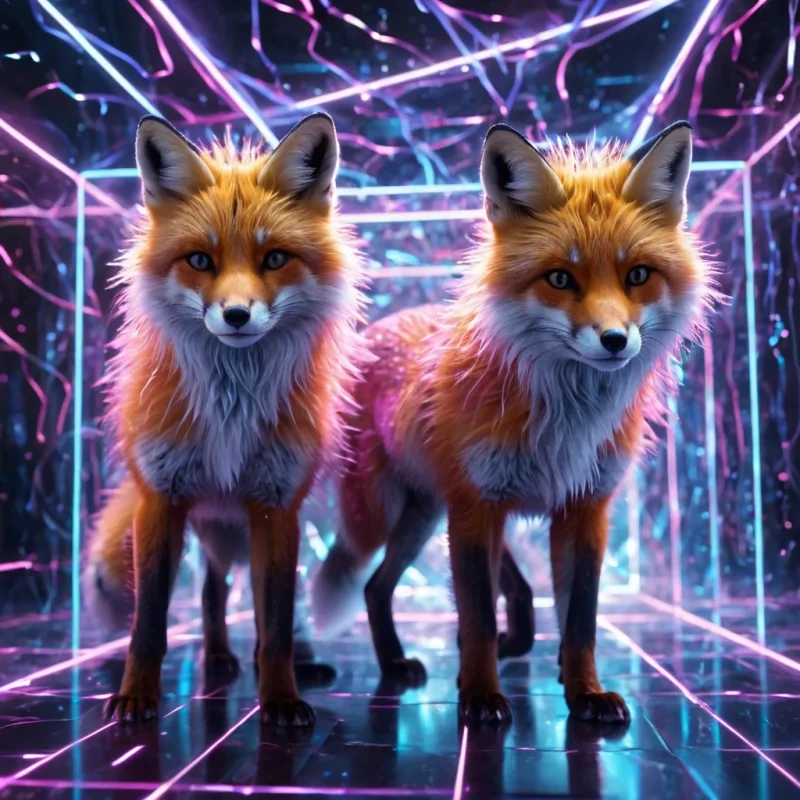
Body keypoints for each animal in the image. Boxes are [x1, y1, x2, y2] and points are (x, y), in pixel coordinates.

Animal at [88, 112, 363, 727]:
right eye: (200, 260)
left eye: (274, 259)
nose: (236, 315)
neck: (231, 408)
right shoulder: (160, 497)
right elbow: (148, 623)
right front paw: (136, 696)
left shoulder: (276, 504)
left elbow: (275, 624)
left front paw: (281, 699)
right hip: (205, 524)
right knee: (212, 592)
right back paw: (215, 657)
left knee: (253, 605)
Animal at [313, 121, 713, 725]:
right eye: (560, 278)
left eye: (638, 275)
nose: (615, 341)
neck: (567, 416)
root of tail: (376, 327)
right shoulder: (478, 507)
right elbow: (477, 617)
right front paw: (480, 695)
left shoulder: (583, 508)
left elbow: (579, 621)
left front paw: (584, 692)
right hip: (392, 517)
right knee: (370, 584)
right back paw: (383, 664)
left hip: (431, 514)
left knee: (394, 589)